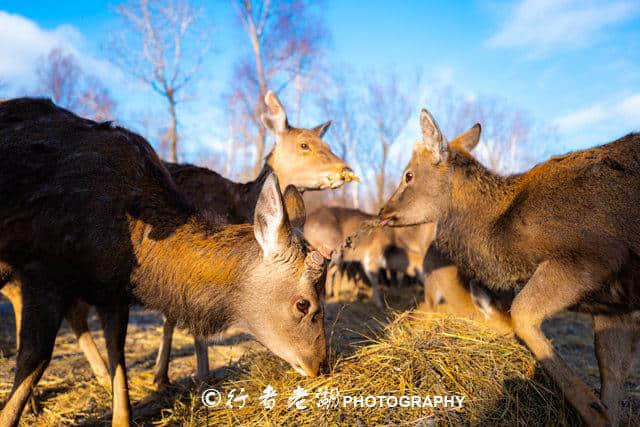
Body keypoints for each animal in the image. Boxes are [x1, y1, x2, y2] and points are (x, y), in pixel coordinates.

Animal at [0, 98, 330, 427]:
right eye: (303, 304)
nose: (319, 365)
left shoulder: (114, 291)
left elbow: (118, 358)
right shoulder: (44, 270)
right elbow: (35, 358)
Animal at [380, 108, 640, 426]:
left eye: (409, 175)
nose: (383, 211)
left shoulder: (595, 255)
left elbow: (522, 314)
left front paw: (593, 408)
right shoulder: (616, 304)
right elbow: (611, 370)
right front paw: (600, 408)